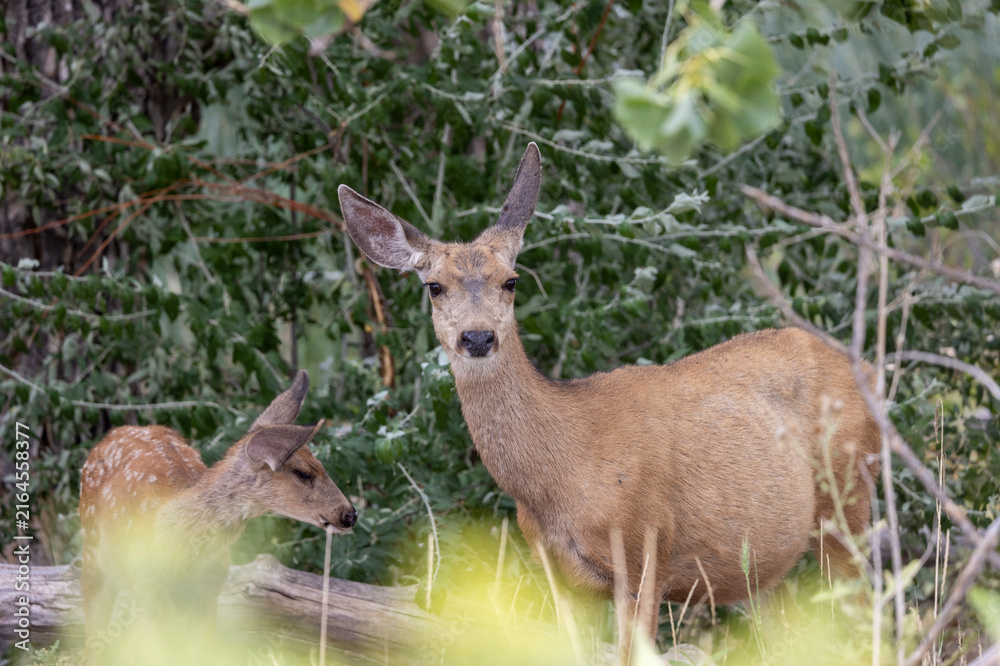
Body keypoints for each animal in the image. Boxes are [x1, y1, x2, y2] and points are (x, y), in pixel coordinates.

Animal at [337, 143, 881, 654]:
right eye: (434, 286)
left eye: (510, 280)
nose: (477, 337)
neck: (564, 474)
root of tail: (869, 372)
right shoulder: (560, 576)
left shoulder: (645, 552)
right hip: (769, 559)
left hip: (848, 499)